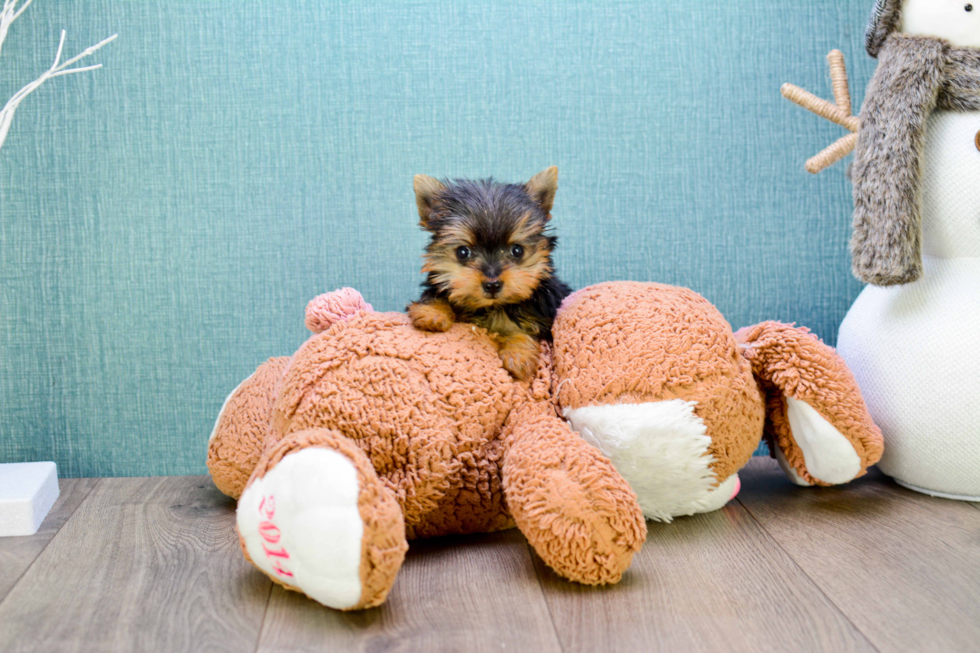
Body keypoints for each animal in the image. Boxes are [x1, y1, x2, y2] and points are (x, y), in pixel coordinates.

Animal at [408, 168, 576, 380]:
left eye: (517, 251)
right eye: (463, 252)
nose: (493, 284)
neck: (490, 307)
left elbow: (521, 329)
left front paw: (519, 355)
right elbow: (438, 294)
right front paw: (433, 314)